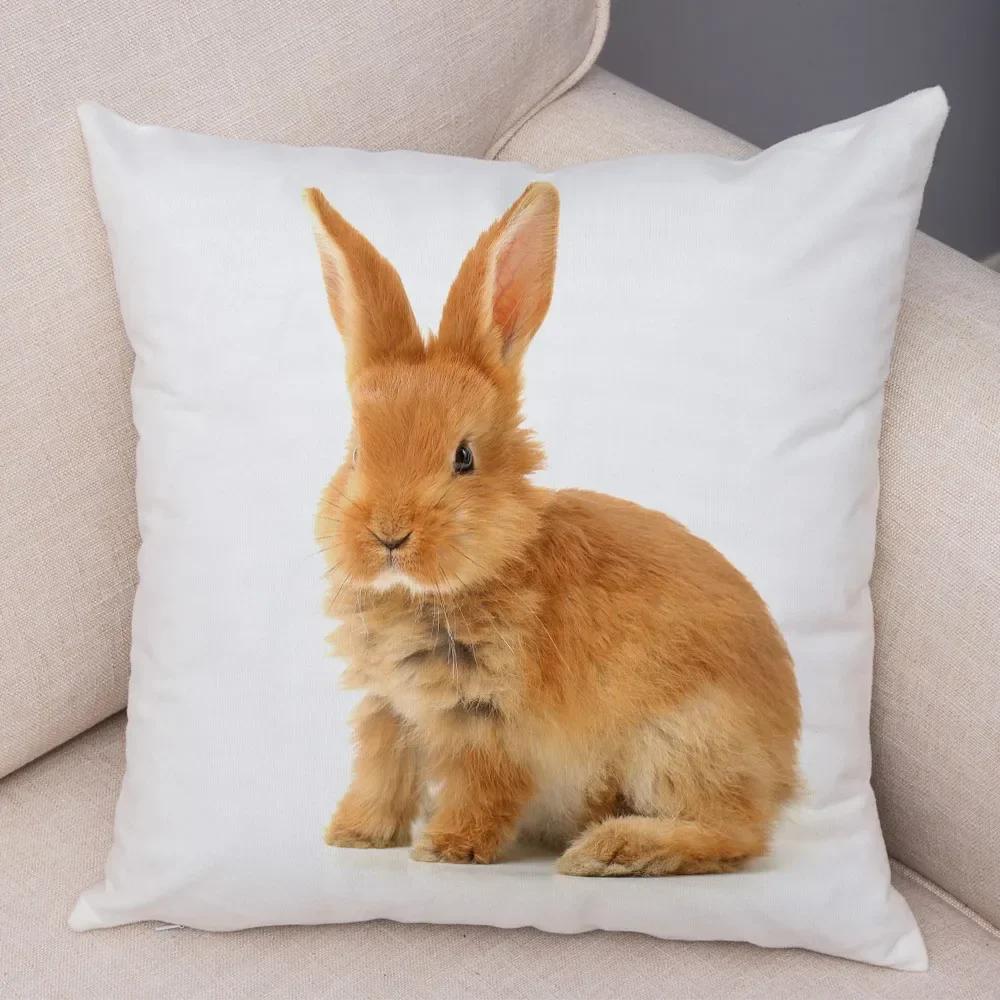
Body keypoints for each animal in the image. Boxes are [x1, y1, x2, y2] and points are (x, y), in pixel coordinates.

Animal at [305, 180, 801, 876]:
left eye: (463, 457)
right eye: (353, 453)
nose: (389, 535)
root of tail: (783, 768)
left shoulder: (492, 721)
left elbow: (482, 787)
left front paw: (448, 848)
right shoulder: (389, 709)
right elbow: (382, 774)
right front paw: (355, 835)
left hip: (682, 743)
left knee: (736, 833)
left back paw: (612, 849)